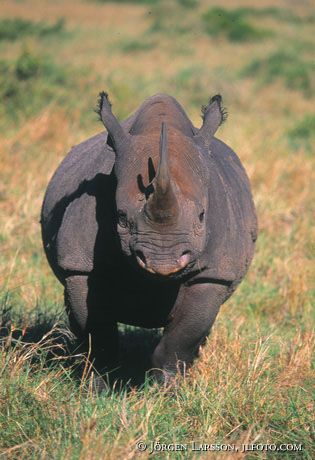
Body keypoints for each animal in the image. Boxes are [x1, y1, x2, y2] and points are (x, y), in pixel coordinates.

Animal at [40, 91, 258, 382]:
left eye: (202, 216)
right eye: (120, 217)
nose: (163, 263)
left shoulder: (214, 274)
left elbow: (181, 340)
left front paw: (167, 388)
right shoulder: (79, 266)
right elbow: (97, 334)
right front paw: (98, 386)